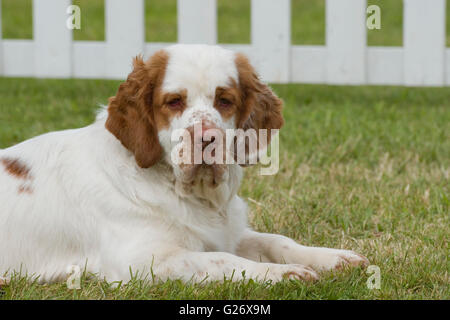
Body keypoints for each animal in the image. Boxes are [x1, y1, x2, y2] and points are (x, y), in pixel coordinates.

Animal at [0, 43, 366, 284]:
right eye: (174, 101)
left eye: (225, 100)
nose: (206, 138)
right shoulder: (143, 260)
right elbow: (223, 260)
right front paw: (282, 273)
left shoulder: (228, 232)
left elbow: (275, 240)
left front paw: (334, 258)